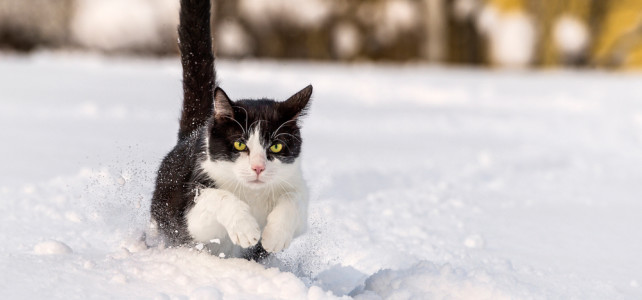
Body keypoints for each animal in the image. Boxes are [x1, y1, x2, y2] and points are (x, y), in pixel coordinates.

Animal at [150, 0, 310, 258]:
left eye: (276, 146)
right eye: (239, 144)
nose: (258, 168)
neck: (253, 194)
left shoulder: (296, 183)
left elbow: (293, 200)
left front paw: (274, 236)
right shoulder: (193, 209)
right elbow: (218, 198)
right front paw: (246, 229)